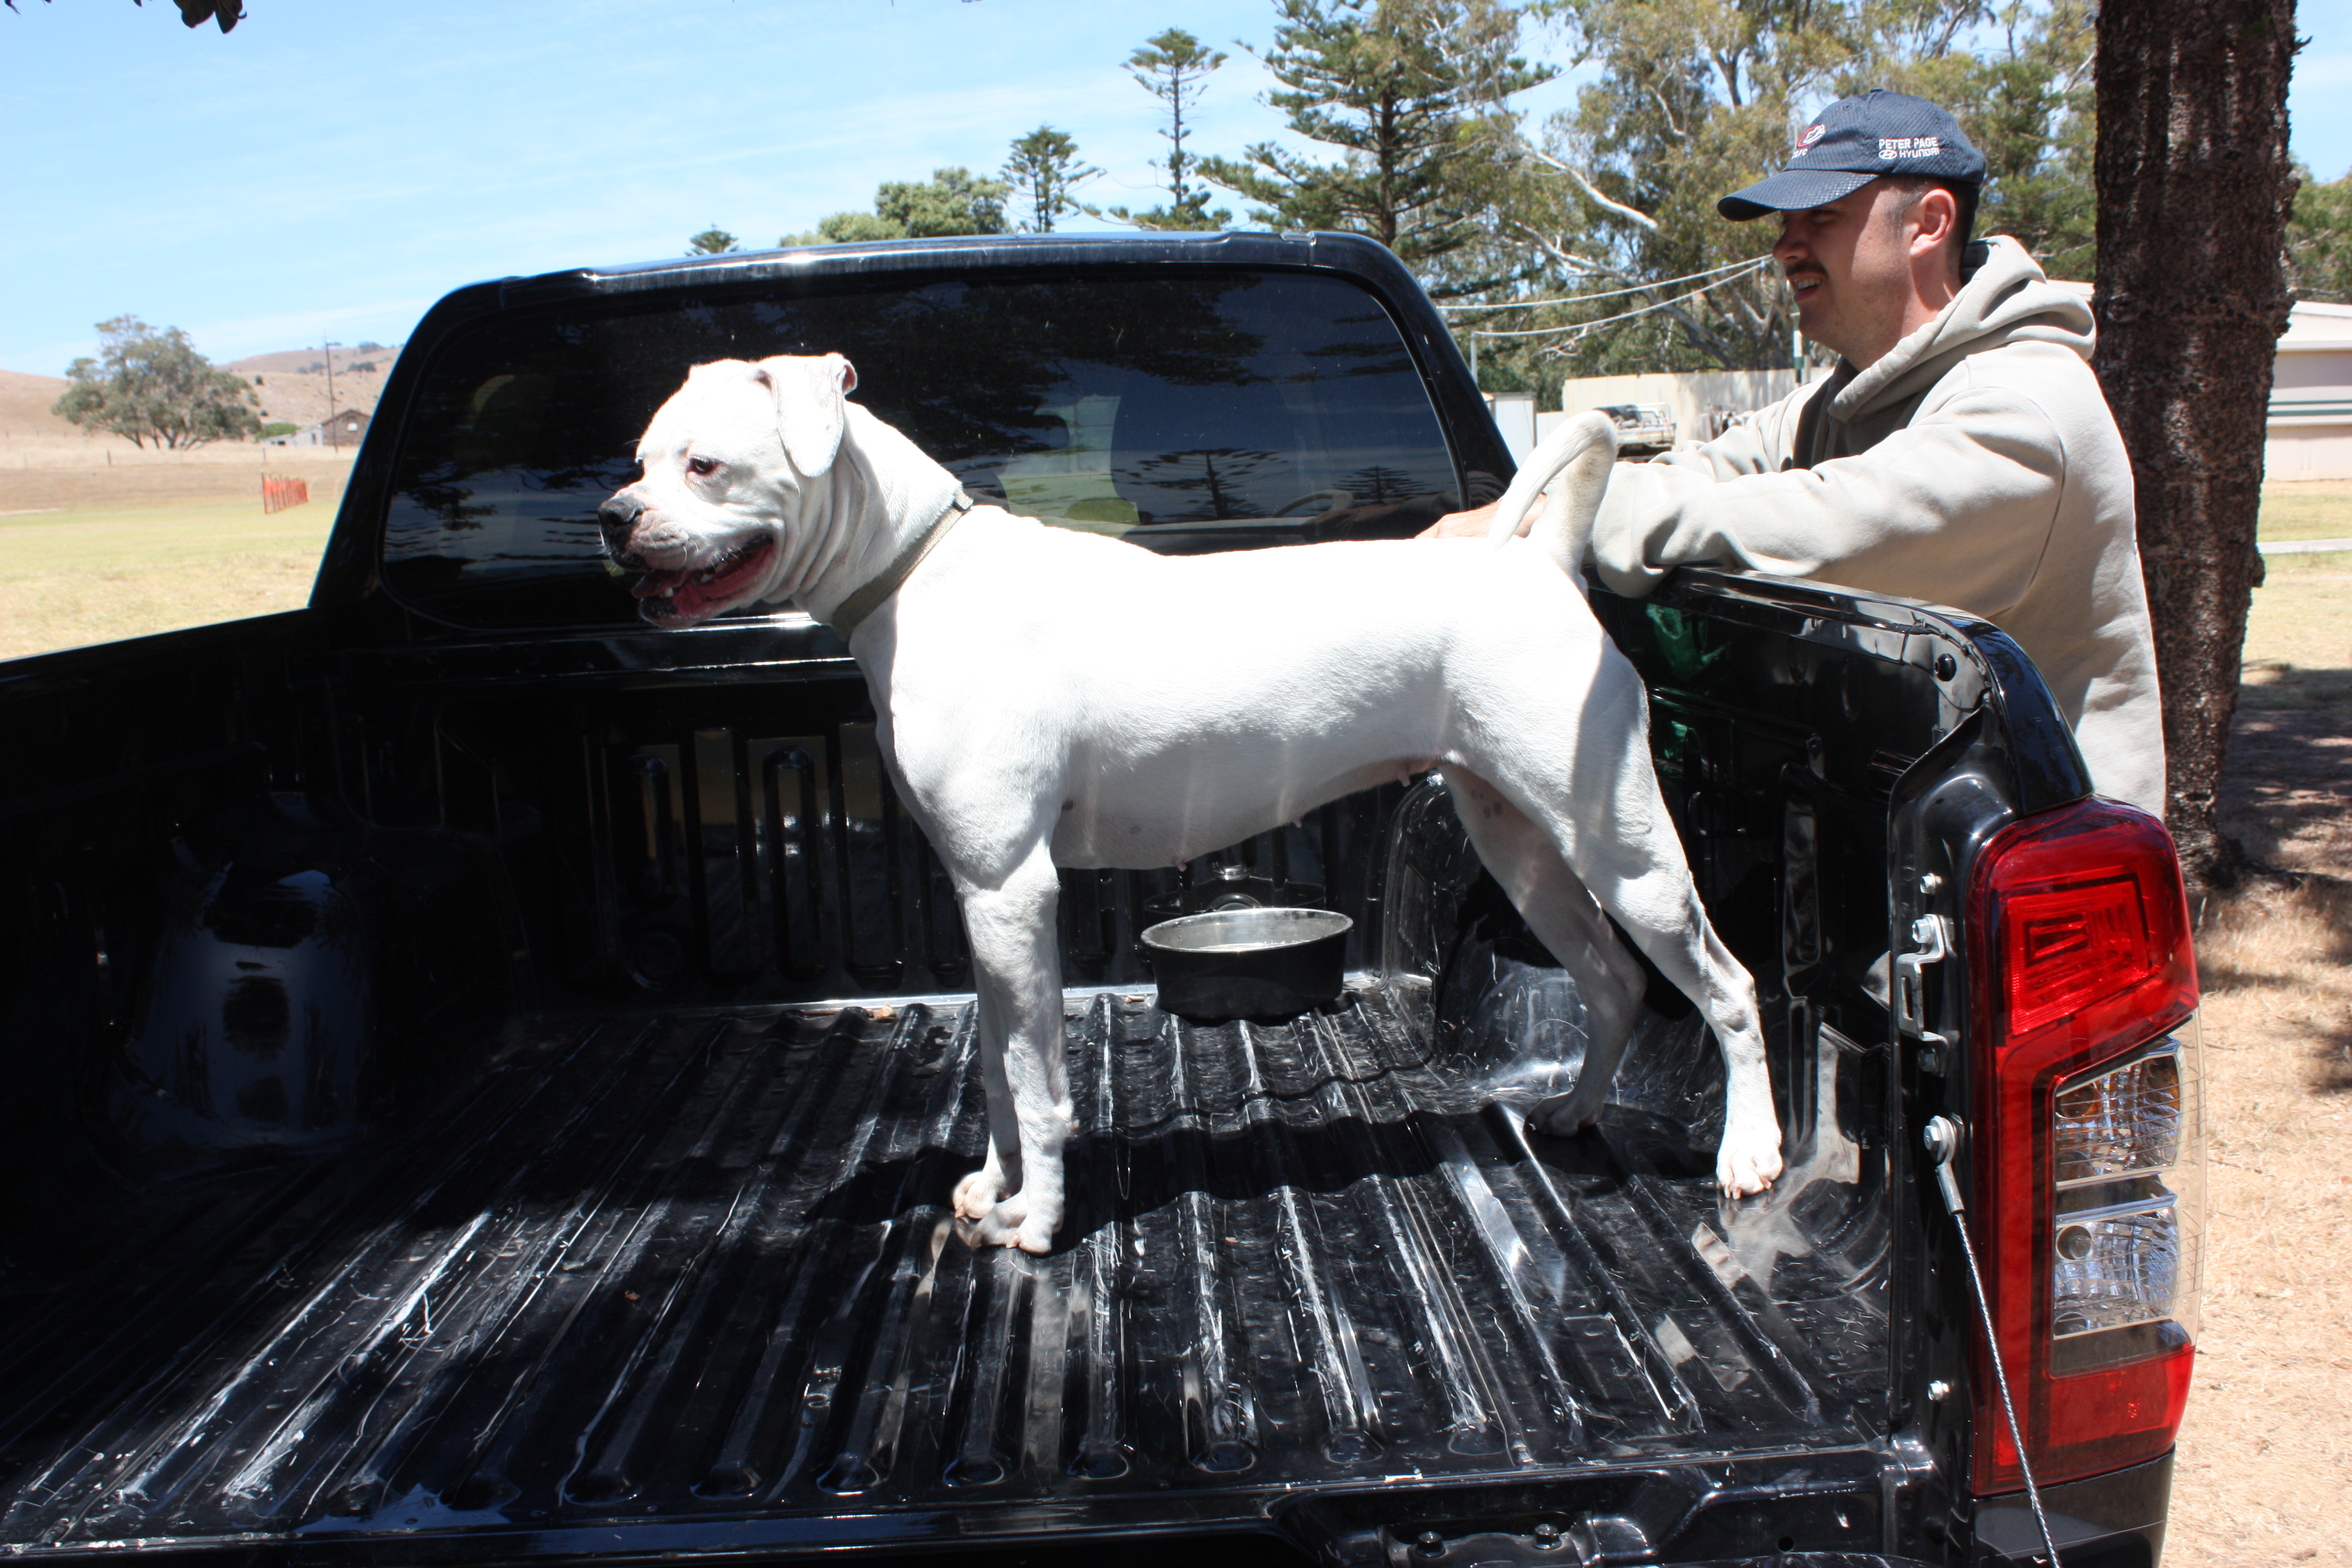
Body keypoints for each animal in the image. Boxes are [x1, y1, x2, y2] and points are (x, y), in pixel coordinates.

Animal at [600, 354, 1784, 1253]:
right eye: (639, 458)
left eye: (705, 465)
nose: (613, 518)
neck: (916, 568)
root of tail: (1541, 560)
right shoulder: (979, 897)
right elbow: (994, 1065)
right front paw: (995, 1182)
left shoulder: (1015, 890)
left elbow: (1036, 1078)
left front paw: (1038, 1218)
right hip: (1523, 842)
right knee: (1611, 979)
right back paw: (1578, 1110)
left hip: (1622, 844)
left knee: (1725, 984)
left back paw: (1750, 1153)